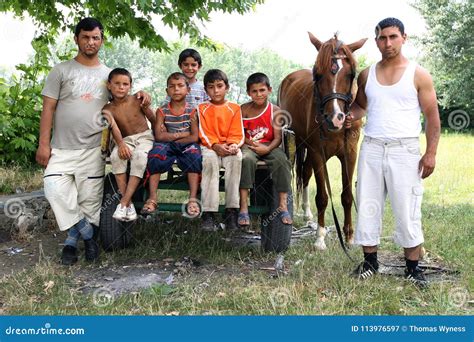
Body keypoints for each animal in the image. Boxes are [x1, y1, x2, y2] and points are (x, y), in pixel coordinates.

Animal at [278, 33, 366, 250]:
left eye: (351, 74)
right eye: (317, 74)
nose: (335, 118)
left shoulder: (350, 153)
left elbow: (347, 196)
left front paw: (349, 236)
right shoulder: (317, 151)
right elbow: (322, 197)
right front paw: (320, 237)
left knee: (306, 174)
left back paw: (308, 214)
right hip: (300, 144)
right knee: (303, 175)